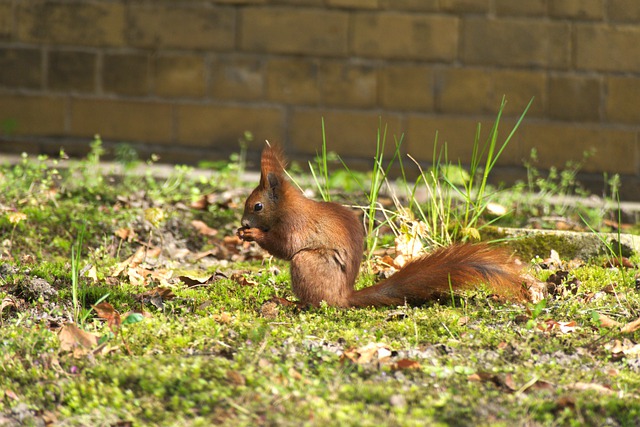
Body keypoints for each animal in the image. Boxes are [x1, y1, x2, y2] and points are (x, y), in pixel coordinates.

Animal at [238, 144, 528, 308]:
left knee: (317, 304)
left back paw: (289, 302)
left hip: (308, 264)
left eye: (257, 206)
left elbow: (286, 247)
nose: (243, 223)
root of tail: (343, 296)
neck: (285, 206)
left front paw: (253, 233)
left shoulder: (295, 224)